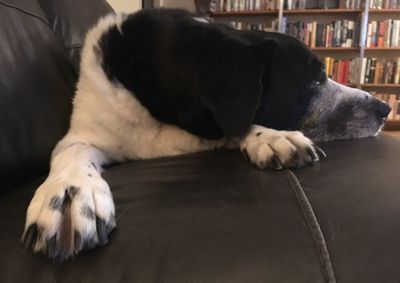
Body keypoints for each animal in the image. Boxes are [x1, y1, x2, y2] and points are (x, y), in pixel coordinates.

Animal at [19, 8, 390, 262]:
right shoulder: (85, 131)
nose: (385, 109)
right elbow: (72, 153)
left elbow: (236, 128)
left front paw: (270, 136)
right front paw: (69, 194)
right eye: (314, 81)